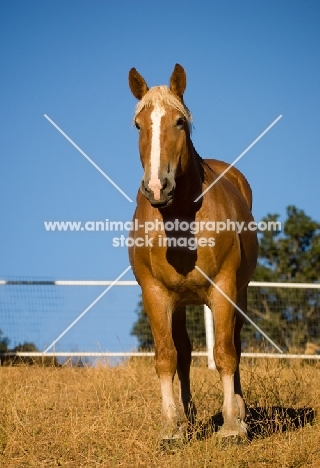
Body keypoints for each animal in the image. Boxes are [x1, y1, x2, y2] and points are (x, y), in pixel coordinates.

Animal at [127, 64, 258, 440]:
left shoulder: (223, 288)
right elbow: (167, 356)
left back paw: (240, 412)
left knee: (235, 345)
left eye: (180, 122)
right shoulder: (155, 294)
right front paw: (171, 427)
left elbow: (225, 352)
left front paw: (231, 427)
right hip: (180, 302)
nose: (157, 187)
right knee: (183, 352)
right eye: (138, 124)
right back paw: (187, 416)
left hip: (239, 293)